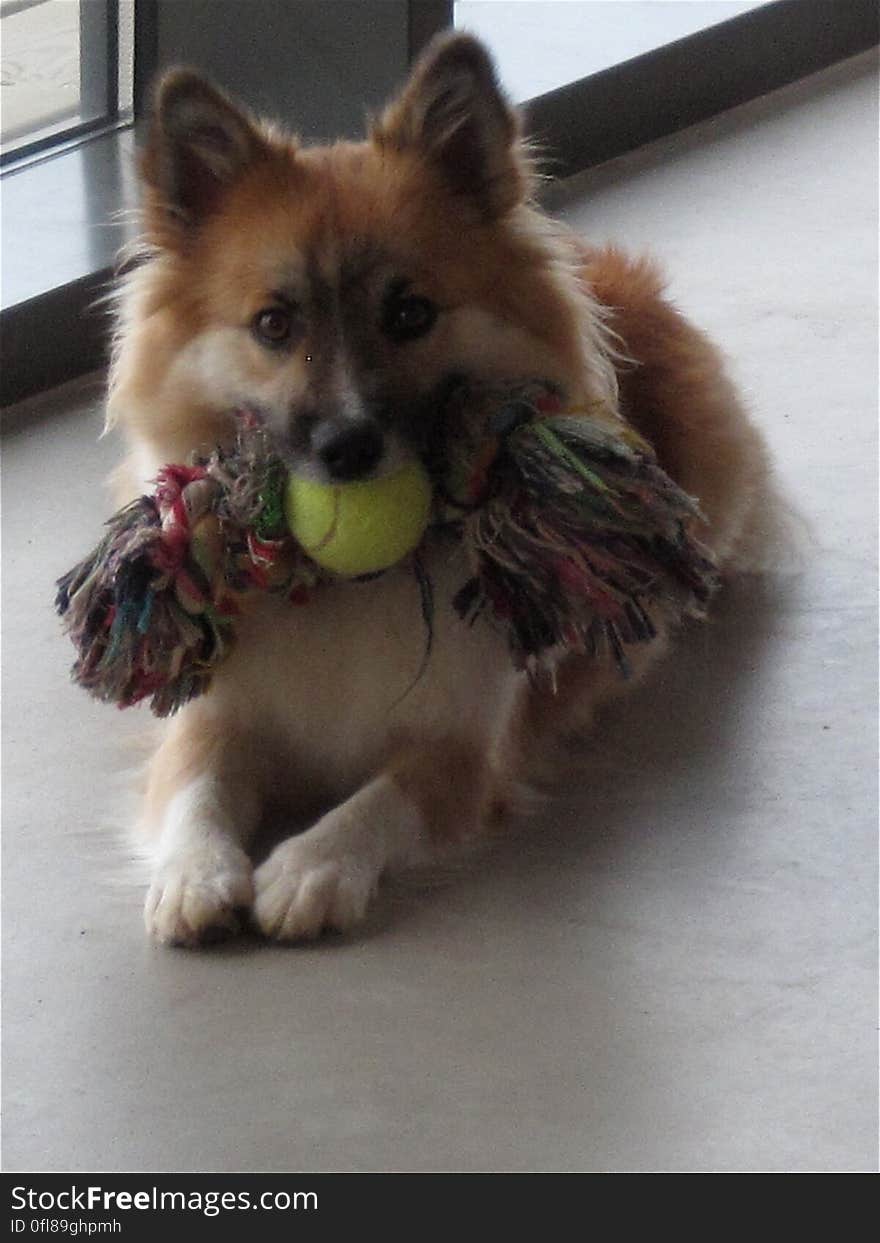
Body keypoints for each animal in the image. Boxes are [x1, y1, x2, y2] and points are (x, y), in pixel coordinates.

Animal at [106, 31, 775, 939]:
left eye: (411, 313)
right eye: (273, 324)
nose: (347, 446)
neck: (346, 584)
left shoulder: (467, 747)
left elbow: (383, 800)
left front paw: (312, 866)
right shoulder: (217, 714)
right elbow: (196, 784)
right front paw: (193, 872)